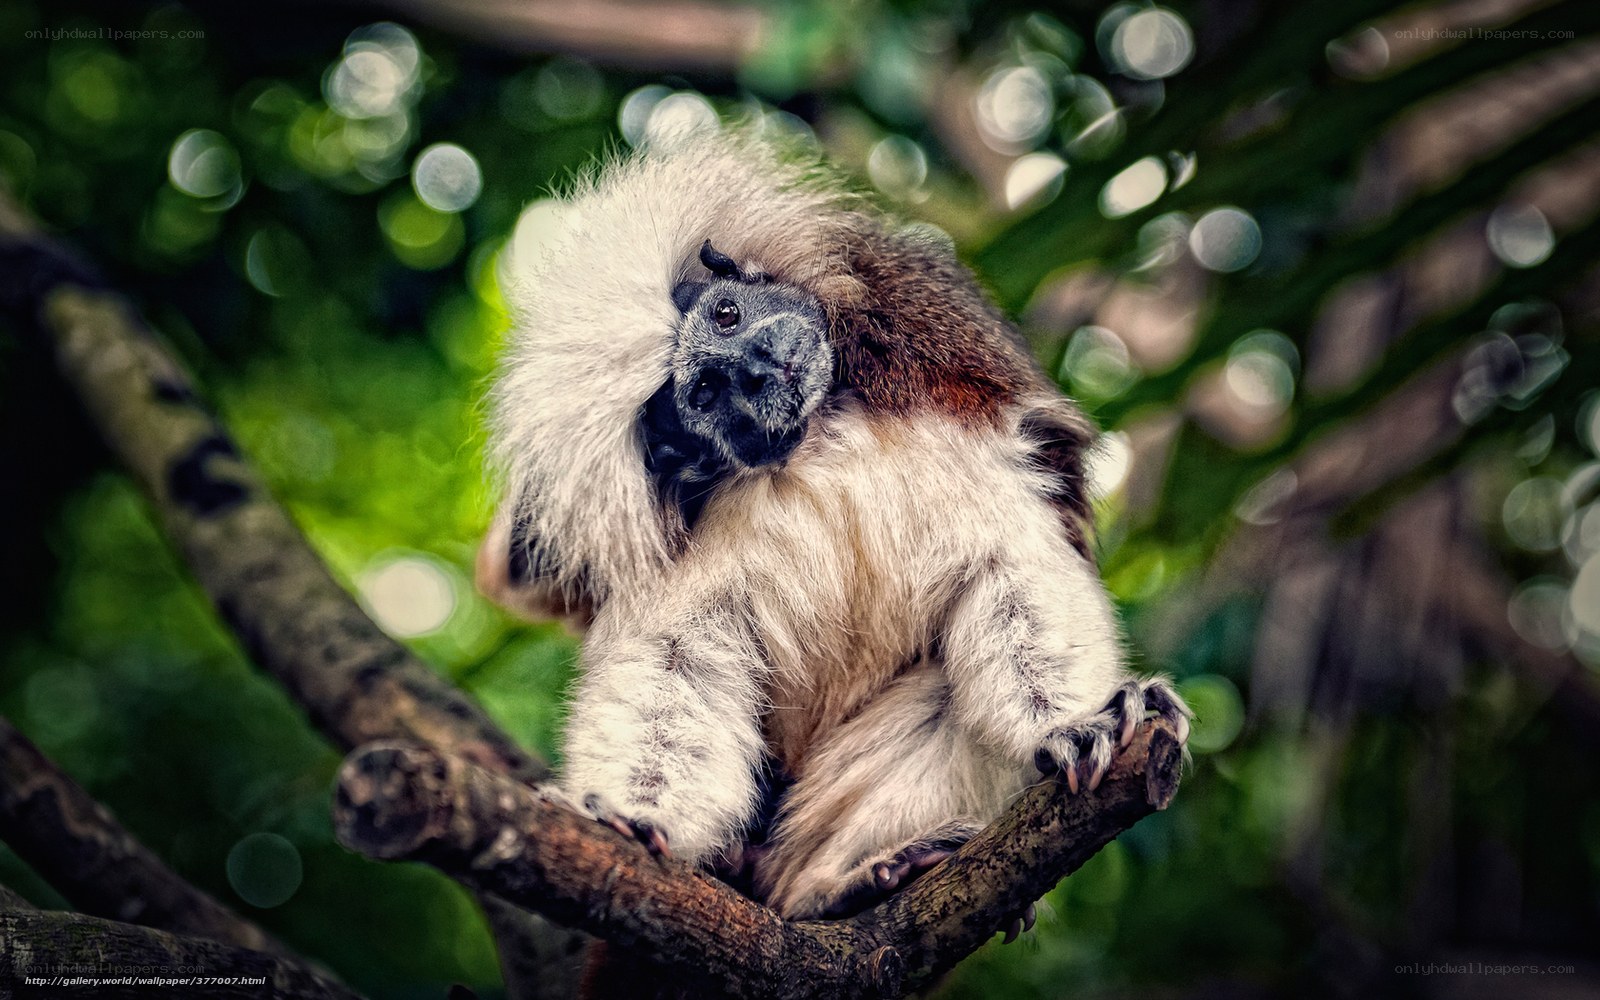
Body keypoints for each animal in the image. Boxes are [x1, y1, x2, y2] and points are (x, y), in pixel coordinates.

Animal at [479, 132, 1191, 922]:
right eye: (705, 391)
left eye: (728, 315)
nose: (756, 368)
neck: (813, 438)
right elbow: (676, 657)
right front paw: (633, 820)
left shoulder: (952, 402)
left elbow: (1011, 568)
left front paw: (1069, 726)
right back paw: (825, 890)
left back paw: (854, 876)